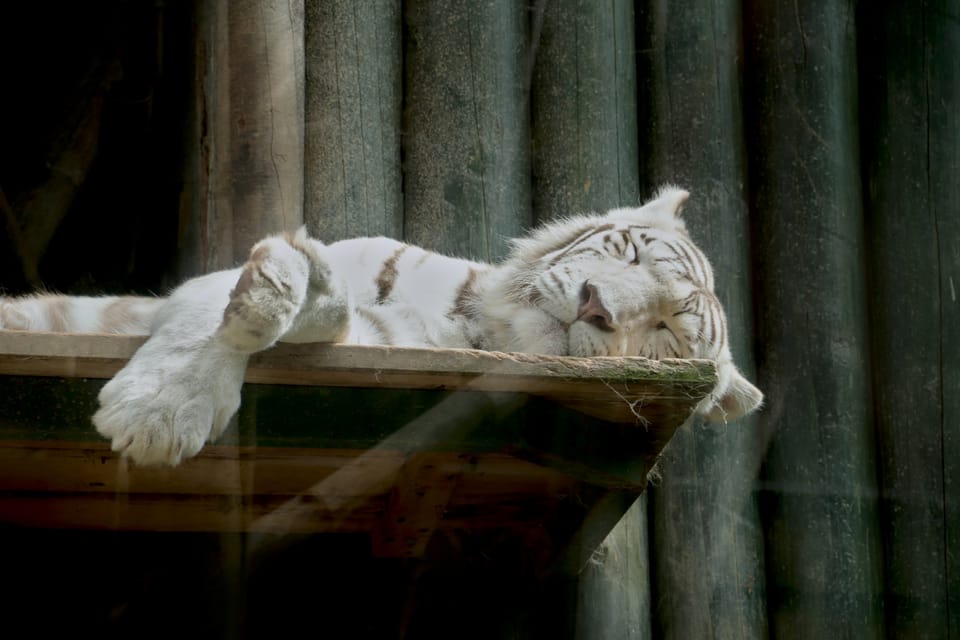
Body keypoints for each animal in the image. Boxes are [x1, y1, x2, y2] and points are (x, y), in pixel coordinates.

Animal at [0, 186, 762, 465]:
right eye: (628, 252)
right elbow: (207, 321)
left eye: (667, 328)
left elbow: (337, 317)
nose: (594, 303)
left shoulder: (375, 347)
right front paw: (159, 409)